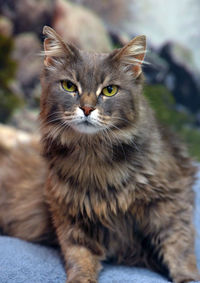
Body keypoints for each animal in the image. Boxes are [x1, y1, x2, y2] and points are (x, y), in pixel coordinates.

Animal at [0, 25, 199, 282]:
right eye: (69, 86)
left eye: (109, 90)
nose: (86, 108)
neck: (94, 154)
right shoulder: (70, 212)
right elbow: (80, 255)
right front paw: (80, 278)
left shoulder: (171, 200)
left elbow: (179, 246)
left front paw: (187, 277)